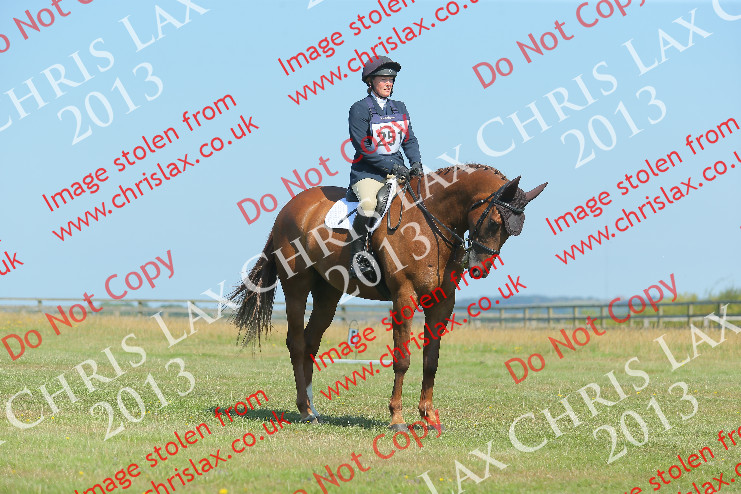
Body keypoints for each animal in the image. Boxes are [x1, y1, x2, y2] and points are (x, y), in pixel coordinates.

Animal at [230, 164, 546, 430]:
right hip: (297, 286)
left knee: (310, 342)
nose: (479, 267)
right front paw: (397, 418)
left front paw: (429, 417)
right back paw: (305, 410)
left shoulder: (442, 302)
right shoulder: (404, 296)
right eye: (494, 222)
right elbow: (402, 358)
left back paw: (312, 408)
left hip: (327, 294)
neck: (431, 223)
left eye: (511, 232)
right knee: (296, 343)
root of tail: (290, 207)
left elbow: (431, 360)